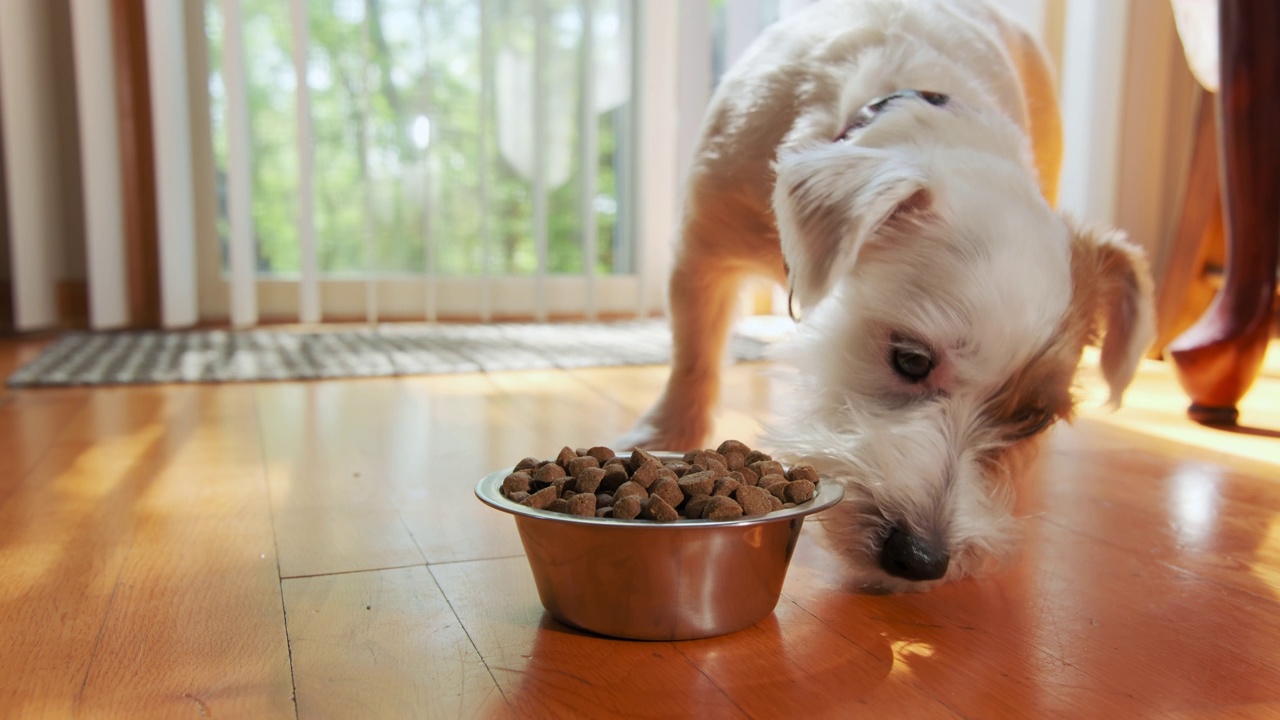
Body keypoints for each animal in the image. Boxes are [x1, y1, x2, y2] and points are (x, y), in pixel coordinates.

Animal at [619, 0, 1162, 589]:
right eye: (911, 360)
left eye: (1034, 420)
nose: (921, 560)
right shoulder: (702, 247)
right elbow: (694, 355)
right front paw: (665, 434)